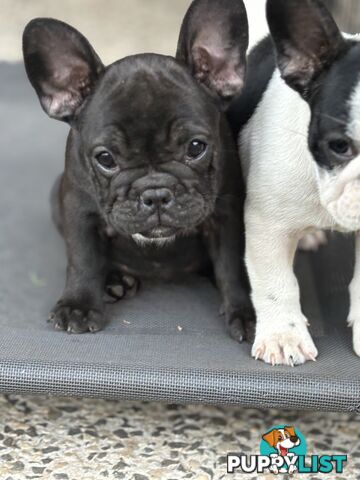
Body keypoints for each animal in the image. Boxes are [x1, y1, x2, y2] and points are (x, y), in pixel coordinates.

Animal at [22, 0, 255, 338]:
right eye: (106, 159)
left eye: (196, 147)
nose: (155, 193)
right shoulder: (78, 209)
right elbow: (83, 257)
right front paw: (79, 304)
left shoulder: (227, 213)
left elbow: (232, 264)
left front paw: (246, 311)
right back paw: (113, 281)